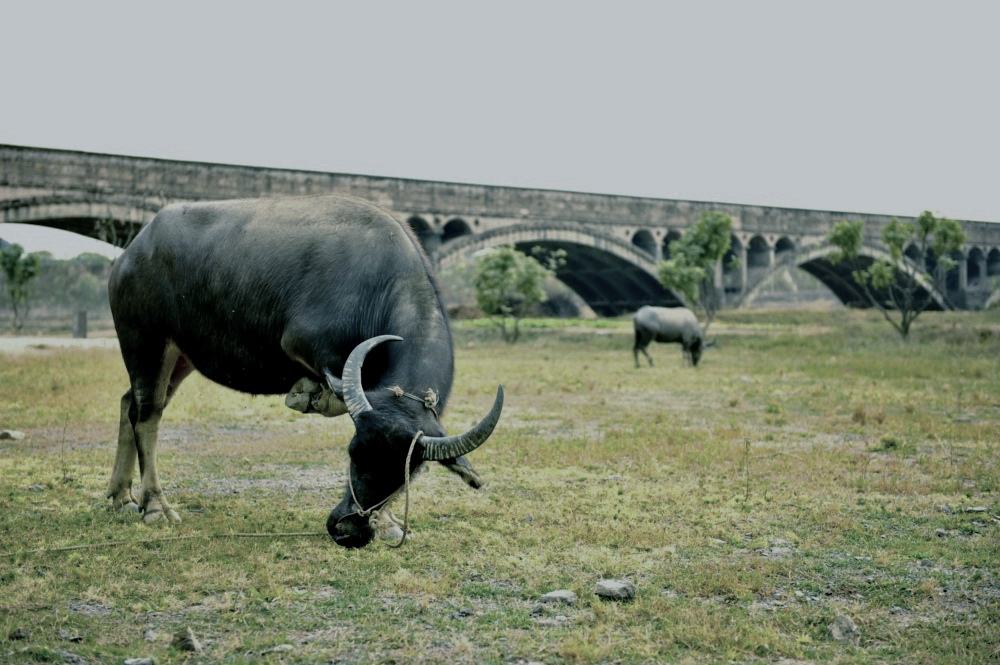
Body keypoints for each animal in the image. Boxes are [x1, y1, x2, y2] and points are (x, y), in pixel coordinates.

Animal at [107, 192, 508, 544]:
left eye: (407, 472)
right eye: (353, 453)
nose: (347, 529)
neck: (379, 285)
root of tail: (130, 253)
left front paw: (388, 521)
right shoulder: (303, 344)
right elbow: (336, 392)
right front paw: (308, 395)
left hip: (181, 355)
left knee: (129, 403)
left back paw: (120, 497)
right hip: (145, 341)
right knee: (147, 413)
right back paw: (154, 506)